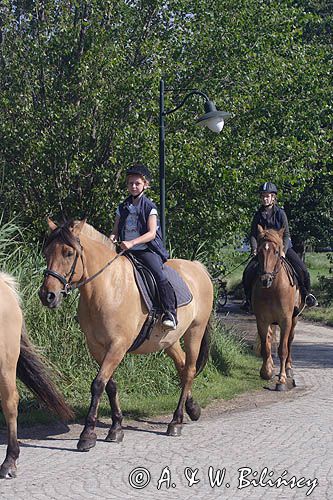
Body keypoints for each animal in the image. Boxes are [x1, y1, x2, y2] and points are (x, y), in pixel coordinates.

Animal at [39, 221, 213, 452]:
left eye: (68, 253)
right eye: (46, 252)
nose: (47, 295)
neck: (107, 287)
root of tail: (197, 267)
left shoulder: (118, 346)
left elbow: (98, 384)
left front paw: (87, 434)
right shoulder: (97, 347)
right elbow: (110, 385)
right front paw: (116, 427)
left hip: (195, 331)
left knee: (190, 369)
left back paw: (176, 421)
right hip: (170, 340)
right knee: (183, 367)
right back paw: (192, 408)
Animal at [252, 226, 304, 390]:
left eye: (276, 252)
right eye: (259, 251)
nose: (265, 279)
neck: (273, 290)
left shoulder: (285, 321)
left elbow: (283, 349)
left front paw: (281, 379)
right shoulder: (262, 321)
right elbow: (266, 346)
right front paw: (266, 371)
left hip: (294, 319)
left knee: (290, 341)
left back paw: (288, 368)